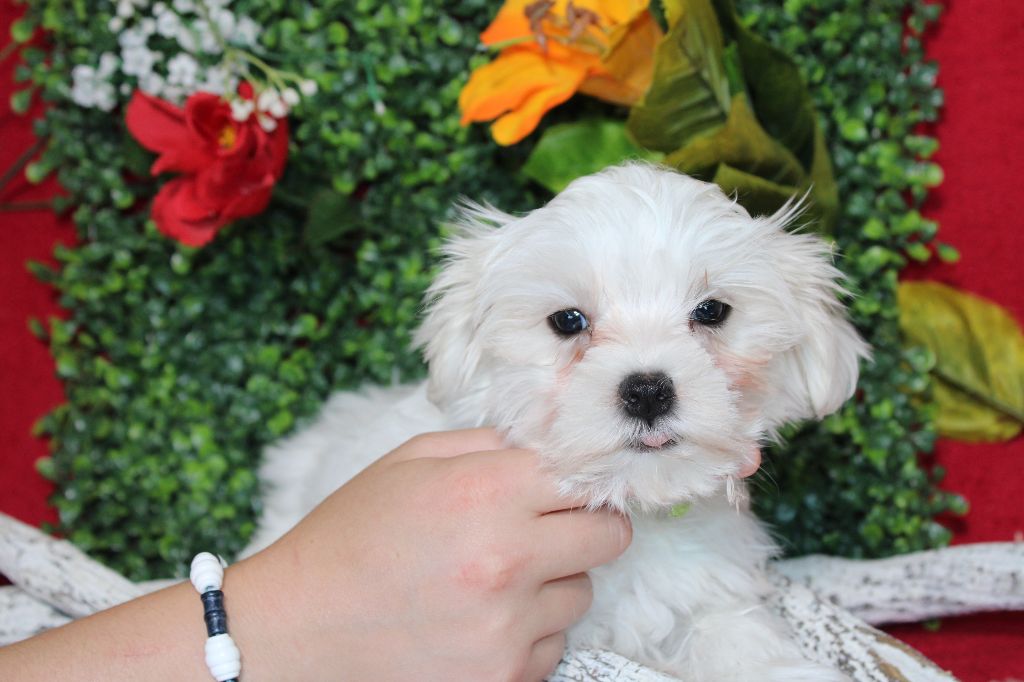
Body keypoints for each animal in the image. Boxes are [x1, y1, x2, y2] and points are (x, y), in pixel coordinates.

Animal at [245, 161, 864, 675]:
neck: (636, 509)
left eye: (712, 311)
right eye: (567, 321)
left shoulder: (713, 594)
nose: (647, 392)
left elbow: (739, 640)